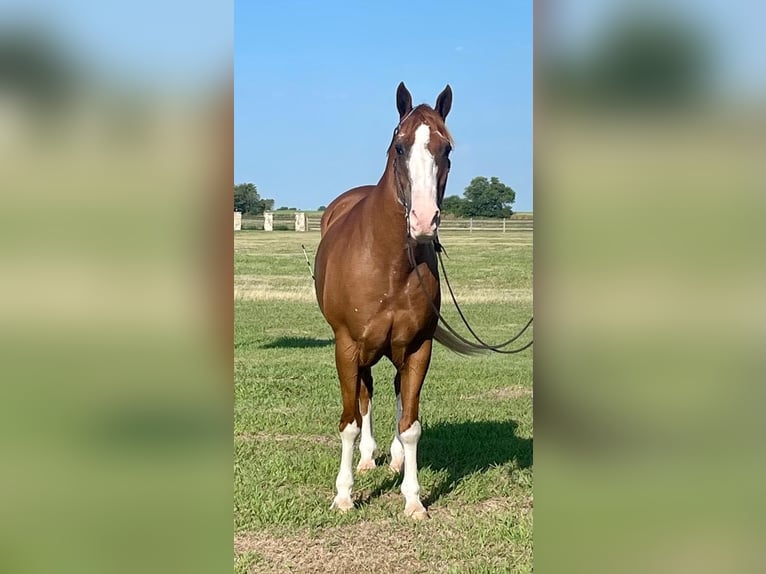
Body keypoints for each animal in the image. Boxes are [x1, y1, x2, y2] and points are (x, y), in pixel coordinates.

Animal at [314, 82, 474, 520]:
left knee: (398, 393)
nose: (423, 221)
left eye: (446, 149)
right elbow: (350, 421)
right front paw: (343, 495)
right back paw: (369, 458)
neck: (388, 264)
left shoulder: (418, 347)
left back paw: (395, 458)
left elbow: (411, 424)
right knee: (365, 394)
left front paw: (413, 498)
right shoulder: (347, 346)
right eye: (400, 146)